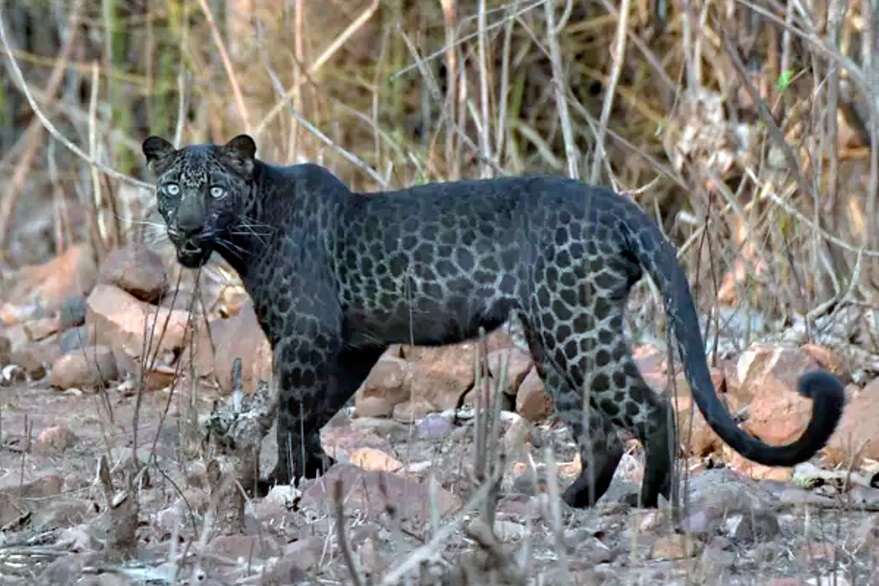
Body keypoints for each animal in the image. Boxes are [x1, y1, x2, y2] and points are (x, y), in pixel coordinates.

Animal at [143, 132, 844, 506]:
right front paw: (311, 473)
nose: (187, 227)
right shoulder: (350, 344)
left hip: (575, 327)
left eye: (215, 189)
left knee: (651, 410)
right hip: (552, 338)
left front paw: (280, 483)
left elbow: (291, 412)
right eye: (172, 187)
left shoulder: (306, 337)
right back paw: (568, 503)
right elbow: (314, 411)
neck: (249, 233)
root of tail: (619, 205)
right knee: (600, 434)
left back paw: (649, 503)